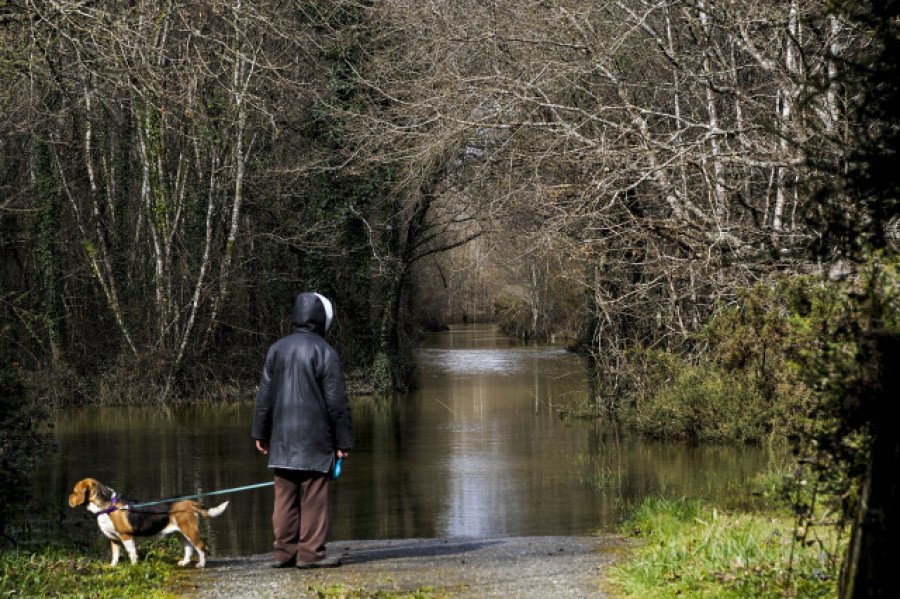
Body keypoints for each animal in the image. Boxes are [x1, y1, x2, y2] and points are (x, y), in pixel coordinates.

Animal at [67, 478, 229, 572]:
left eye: (74, 491)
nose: (68, 499)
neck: (108, 507)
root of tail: (189, 501)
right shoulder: (114, 539)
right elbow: (115, 555)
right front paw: (112, 567)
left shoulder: (126, 537)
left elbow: (132, 553)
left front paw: (133, 567)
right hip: (180, 533)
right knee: (189, 548)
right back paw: (184, 562)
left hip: (189, 530)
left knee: (201, 547)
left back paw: (201, 564)